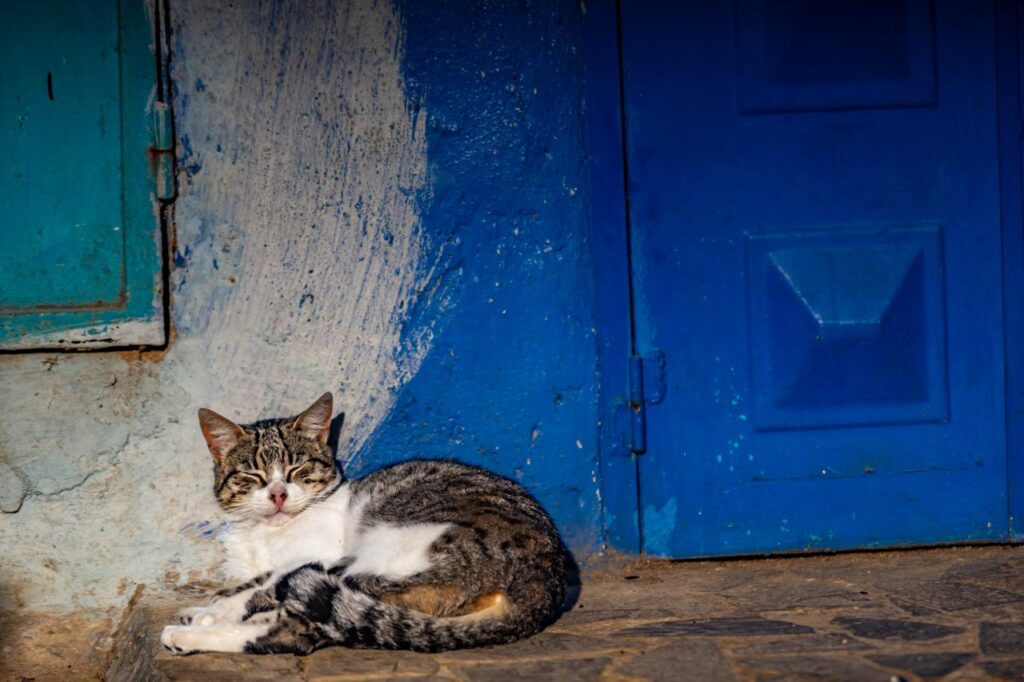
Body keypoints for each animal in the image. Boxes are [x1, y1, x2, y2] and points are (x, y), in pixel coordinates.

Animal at [163, 393, 573, 655]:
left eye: (297, 469)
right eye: (253, 475)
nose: (278, 494)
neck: (262, 533)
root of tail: (544, 587)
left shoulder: (314, 555)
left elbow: (257, 587)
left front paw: (208, 613)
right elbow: (244, 584)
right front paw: (206, 607)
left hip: (384, 551)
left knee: (301, 624)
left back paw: (187, 635)